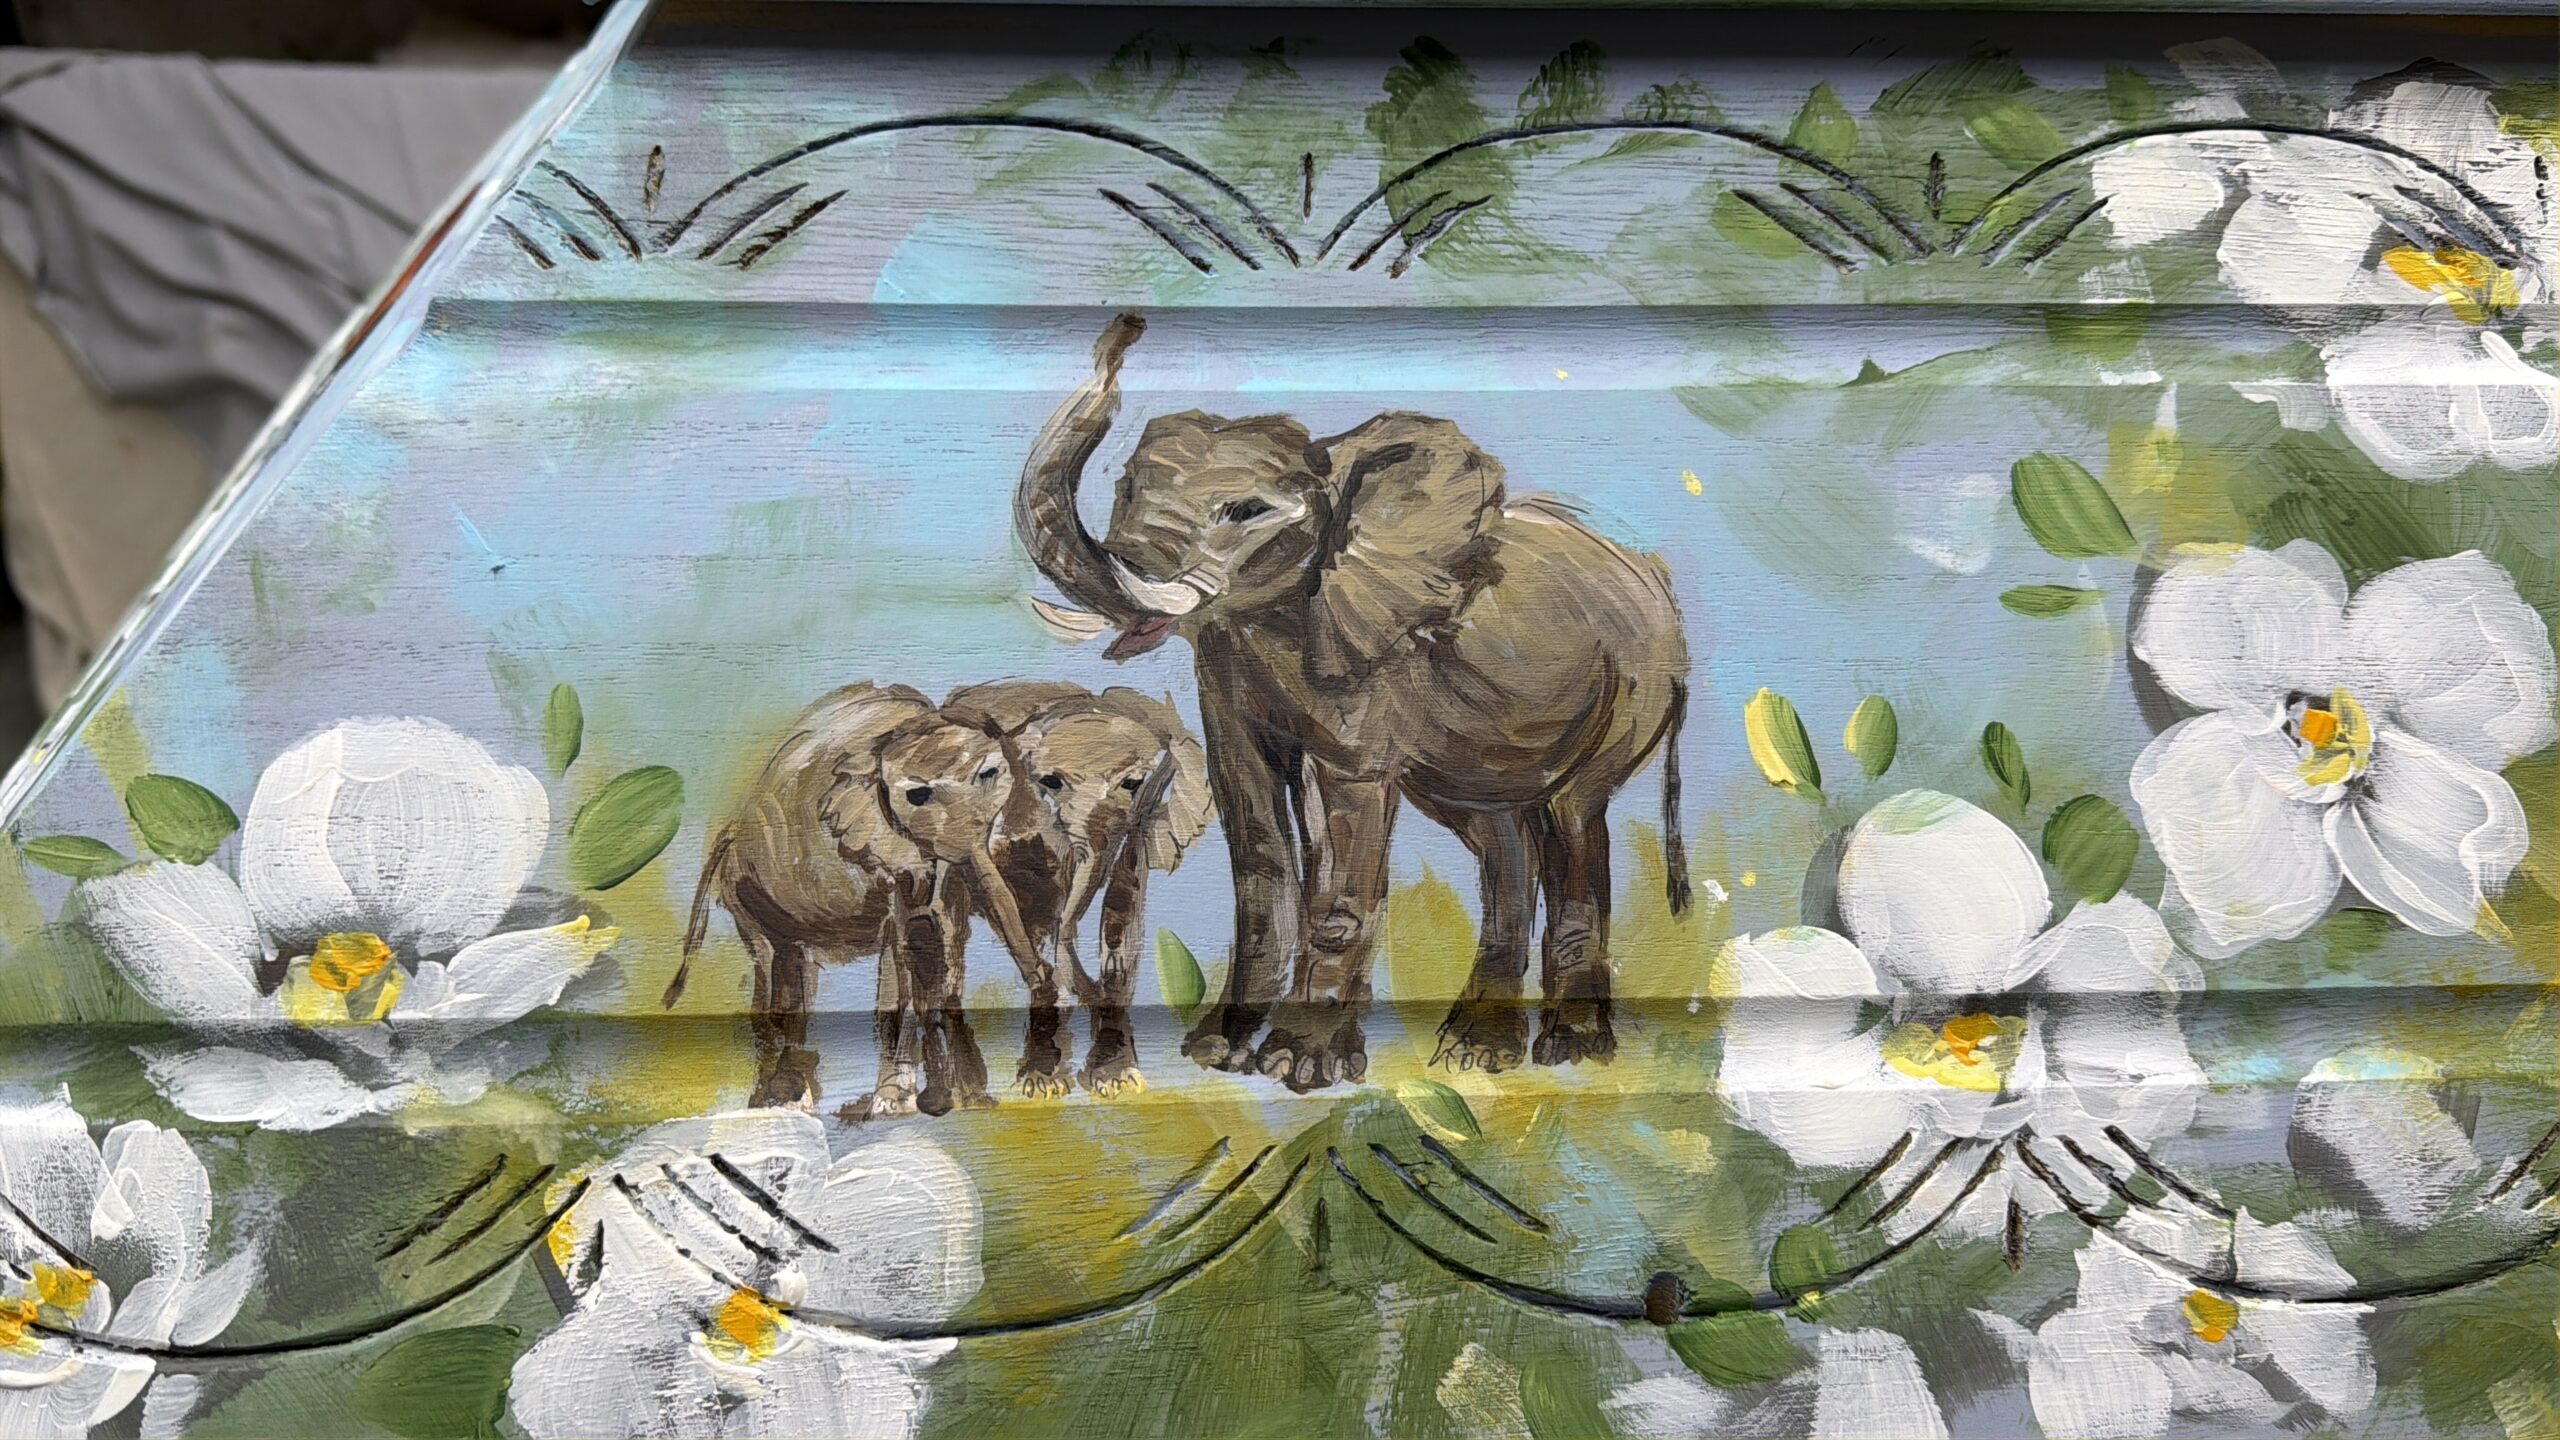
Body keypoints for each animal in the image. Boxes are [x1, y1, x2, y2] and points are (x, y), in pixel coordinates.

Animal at [660, 682, 1070, 1115]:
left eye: (988, 774)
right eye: (918, 795)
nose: (1045, 976)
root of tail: (728, 832)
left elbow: (939, 937)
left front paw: (967, 1101)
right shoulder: (882, 848)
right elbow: (921, 940)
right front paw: (932, 1104)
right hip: (745, 890)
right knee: (778, 968)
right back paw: (779, 1105)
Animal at [945, 680, 1212, 1095]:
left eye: (1132, 783)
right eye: (1050, 781)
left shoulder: (1140, 824)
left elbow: (1121, 914)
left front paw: (1116, 1077)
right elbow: (1011, 917)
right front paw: (1042, 1082)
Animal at [1016, 313, 1693, 1092]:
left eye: (1244, 511)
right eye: (1124, 488)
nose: (1125, 332)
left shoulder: (1376, 659)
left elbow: (1349, 798)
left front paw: (1299, 1065)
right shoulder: (1224, 658)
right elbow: (1252, 817)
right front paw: (1216, 1053)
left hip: (1634, 686)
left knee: (1573, 818)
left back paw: (1568, 1049)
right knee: (1500, 836)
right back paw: (1474, 1052)